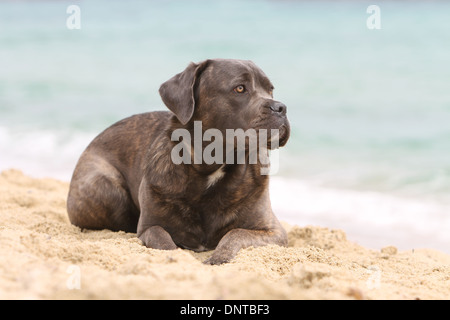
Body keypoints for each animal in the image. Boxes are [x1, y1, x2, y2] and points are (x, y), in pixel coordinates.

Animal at [67, 58, 292, 264]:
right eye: (240, 88)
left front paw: (219, 256)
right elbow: (163, 240)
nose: (281, 107)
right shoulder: (150, 227)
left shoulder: (272, 231)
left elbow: (235, 234)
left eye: (270, 90)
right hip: (105, 190)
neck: (212, 166)